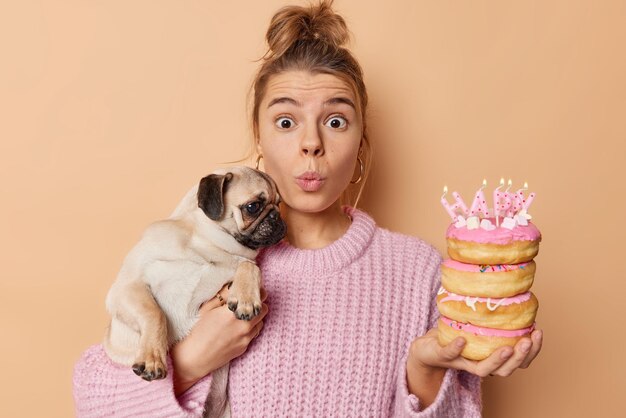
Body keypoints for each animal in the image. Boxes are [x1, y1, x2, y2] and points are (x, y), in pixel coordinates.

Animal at [103, 167, 286, 418]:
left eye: (279, 204)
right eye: (253, 207)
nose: (277, 216)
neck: (207, 246)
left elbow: (250, 266)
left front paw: (246, 297)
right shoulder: (128, 287)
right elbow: (154, 314)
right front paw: (153, 358)